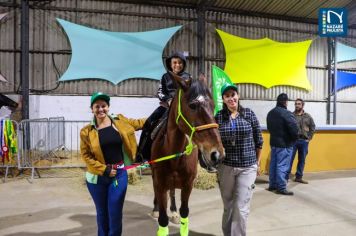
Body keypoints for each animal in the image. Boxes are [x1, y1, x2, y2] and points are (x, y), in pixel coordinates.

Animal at [151, 73, 224, 235]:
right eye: (192, 105)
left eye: (213, 105)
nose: (217, 154)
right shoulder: (160, 184)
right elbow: (162, 220)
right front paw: (159, 211)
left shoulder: (188, 185)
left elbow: (184, 213)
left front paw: (176, 213)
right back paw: (155, 209)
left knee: (172, 192)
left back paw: (173, 212)